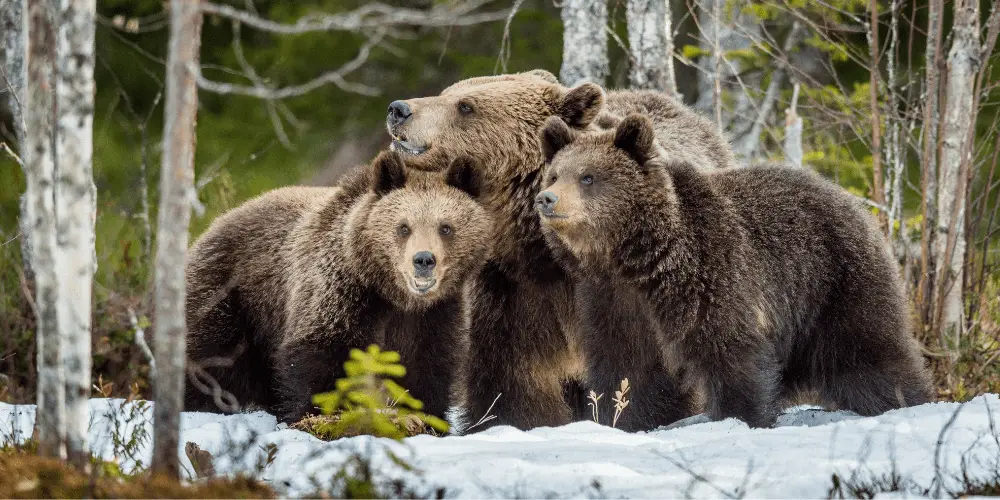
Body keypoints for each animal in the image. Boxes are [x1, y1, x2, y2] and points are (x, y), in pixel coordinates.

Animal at [185, 150, 492, 424]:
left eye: (446, 227)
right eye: (403, 227)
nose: (424, 260)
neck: (392, 294)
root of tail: (212, 226)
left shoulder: (435, 313)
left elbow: (427, 364)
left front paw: (426, 417)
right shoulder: (340, 290)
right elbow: (323, 354)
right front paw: (324, 412)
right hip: (230, 297)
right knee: (208, 358)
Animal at [536, 115, 932, 428]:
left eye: (588, 177)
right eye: (554, 174)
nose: (547, 199)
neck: (636, 260)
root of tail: (851, 200)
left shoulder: (710, 274)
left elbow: (729, 349)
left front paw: (739, 415)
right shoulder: (611, 300)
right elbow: (626, 367)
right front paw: (623, 418)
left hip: (835, 281)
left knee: (868, 351)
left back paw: (906, 399)